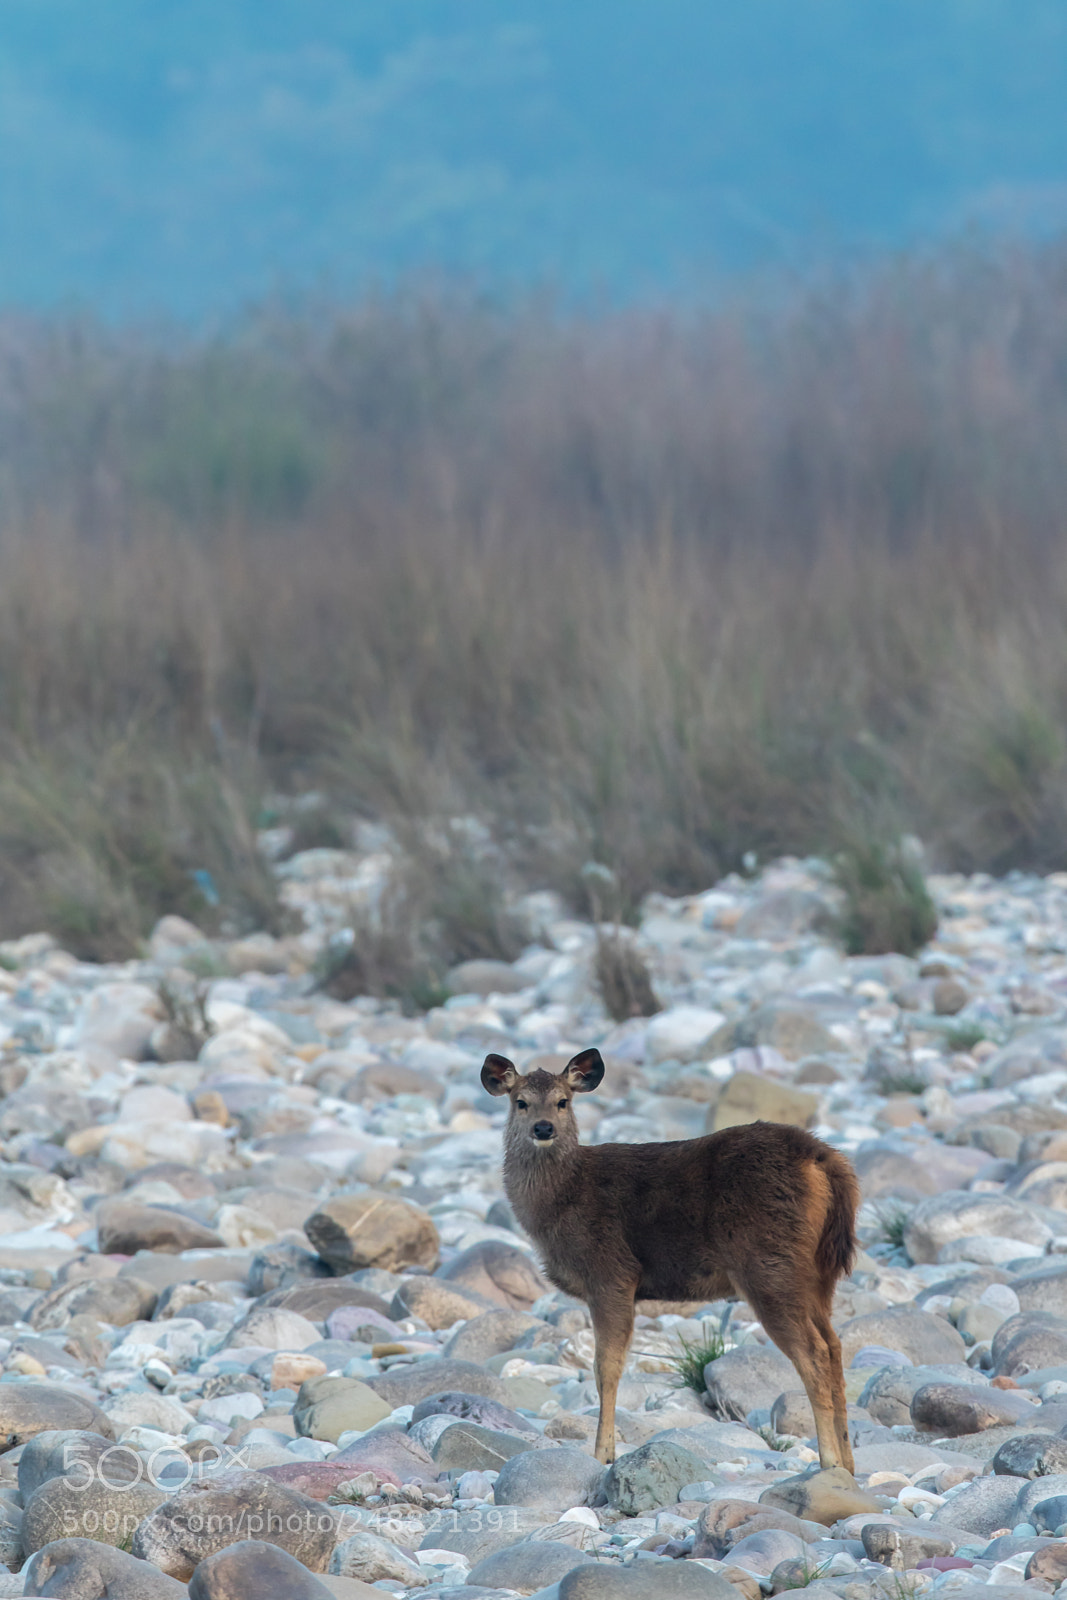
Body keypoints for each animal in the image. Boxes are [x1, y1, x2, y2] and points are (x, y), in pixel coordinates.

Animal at [482, 1047, 859, 1470]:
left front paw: (603, 1454)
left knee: (813, 1353)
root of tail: (822, 1158)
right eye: (521, 1102)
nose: (543, 1128)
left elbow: (605, 1367)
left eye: (563, 1101)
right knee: (835, 1346)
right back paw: (848, 1464)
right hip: (819, 1273)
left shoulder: (611, 1271)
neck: (564, 1197)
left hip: (769, 1265)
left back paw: (829, 1462)